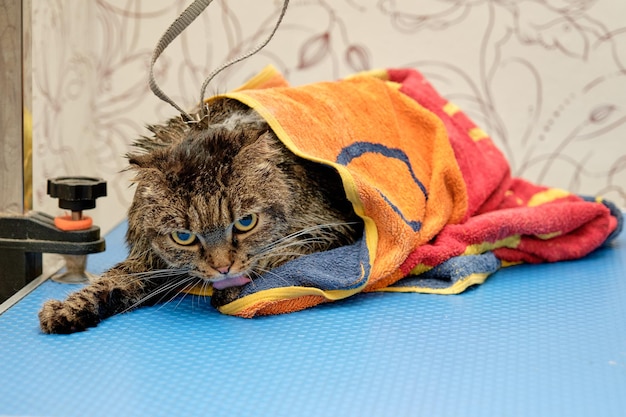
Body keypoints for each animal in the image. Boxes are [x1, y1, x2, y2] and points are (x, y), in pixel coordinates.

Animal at [39, 96, 360, 332]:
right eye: (184, 237)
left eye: (246, 222)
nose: (223, 268)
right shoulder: (149, 260)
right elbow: (110, 281)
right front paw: (69, 308)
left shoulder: (330, 226)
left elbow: (278, 252)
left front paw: (231, 288)